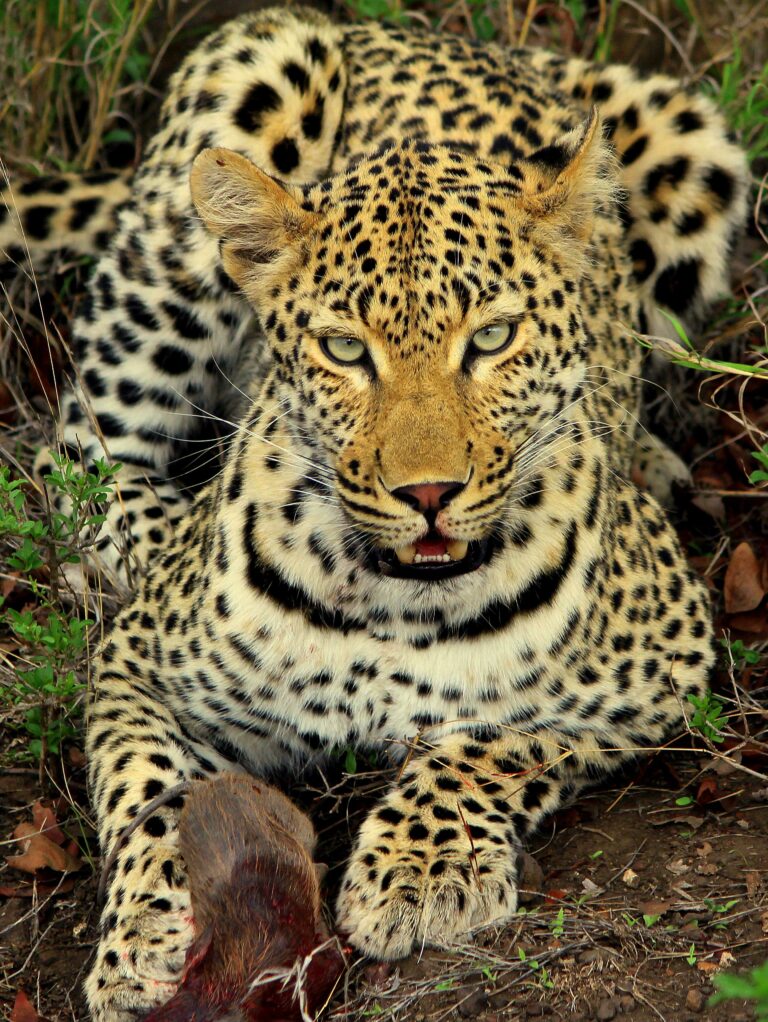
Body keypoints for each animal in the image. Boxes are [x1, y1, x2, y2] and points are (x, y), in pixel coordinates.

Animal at [0, 3, 748, 1017]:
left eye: (494, 338)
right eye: (346, 350)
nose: (428, 494)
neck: (398, 602)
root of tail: (427, 36)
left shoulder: (667, 660)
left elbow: (500, 739)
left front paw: (423, 871)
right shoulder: (138, 663)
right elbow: (150, 790)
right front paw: (147, 936)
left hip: (696, 143)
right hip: (250, 91)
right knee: (80, 454)